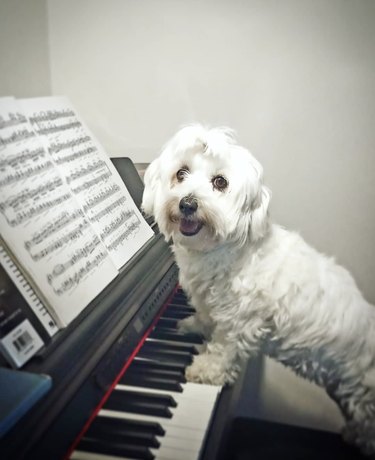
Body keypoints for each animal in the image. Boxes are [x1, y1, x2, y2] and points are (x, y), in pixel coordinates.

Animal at [142, 123, 375, 456]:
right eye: (181, 173)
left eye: (220, 182)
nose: (187, 203)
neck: (221, 250)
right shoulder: (209, 302)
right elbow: (205, 316)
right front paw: (194, 326)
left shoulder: (241, 323)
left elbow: (224, 349)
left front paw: (206, 369)